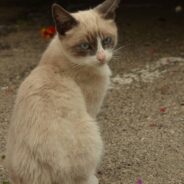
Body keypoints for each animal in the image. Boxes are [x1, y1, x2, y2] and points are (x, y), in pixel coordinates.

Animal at [5, 0, 119, 183]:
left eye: (107, 40)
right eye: (85, 46)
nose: (101, 57)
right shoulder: (91, 110)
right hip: (92, 129)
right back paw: (92, 178)